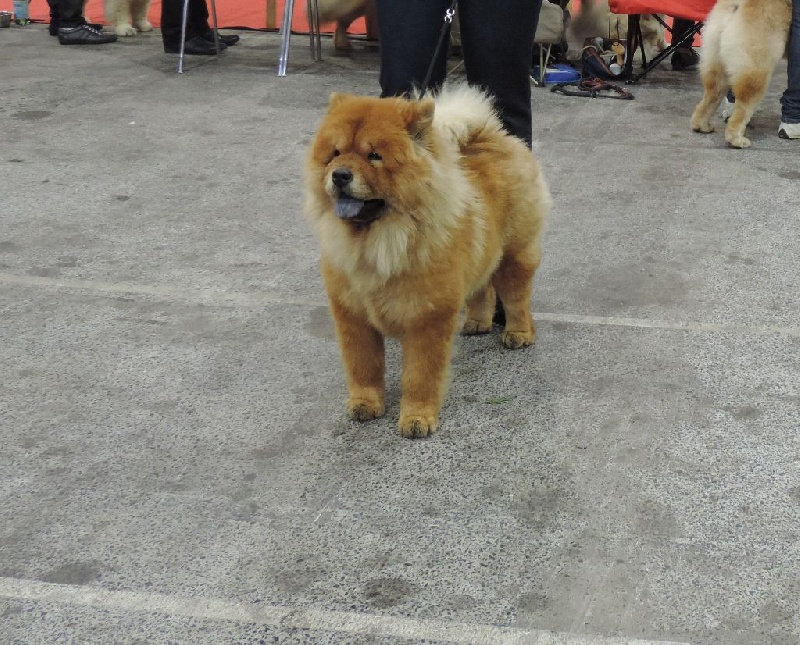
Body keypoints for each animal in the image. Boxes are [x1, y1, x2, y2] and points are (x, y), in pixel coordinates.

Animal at [304, 85, 552, 438]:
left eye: (374, 156)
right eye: (335, 153)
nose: (339, 174)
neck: (378, 241)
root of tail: (494, 135)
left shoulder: (428, 316)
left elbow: (420, 374)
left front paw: (416, 420)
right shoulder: (351, 314)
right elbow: (362, 365)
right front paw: (364, 405)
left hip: (515, 254)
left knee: (516, 296)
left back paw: (518, 334)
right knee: (482, 288)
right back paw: (477, 323)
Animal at [688, 0, 792, 147]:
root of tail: (736, 5)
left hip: (716, 61)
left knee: (711, 96)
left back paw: (702, 126)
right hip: (756, 68)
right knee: (743, 106)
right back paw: (737, 139)